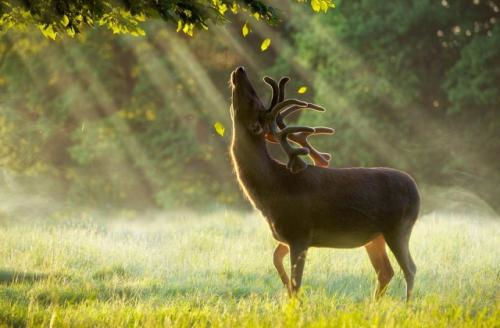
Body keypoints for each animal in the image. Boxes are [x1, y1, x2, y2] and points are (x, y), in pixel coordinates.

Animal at [229, 66, 420, 302]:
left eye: (252, 100)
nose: (240, 70)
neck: (272, 189)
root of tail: (416, 190)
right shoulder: (286, 236)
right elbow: (276, 261)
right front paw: (285, 292)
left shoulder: (300, 232)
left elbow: (297, 282)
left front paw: (294, 302)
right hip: (375, 236)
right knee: (386, 271)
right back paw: (374, 304)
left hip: (399, 227)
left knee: (410, 269)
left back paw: (406, 305)